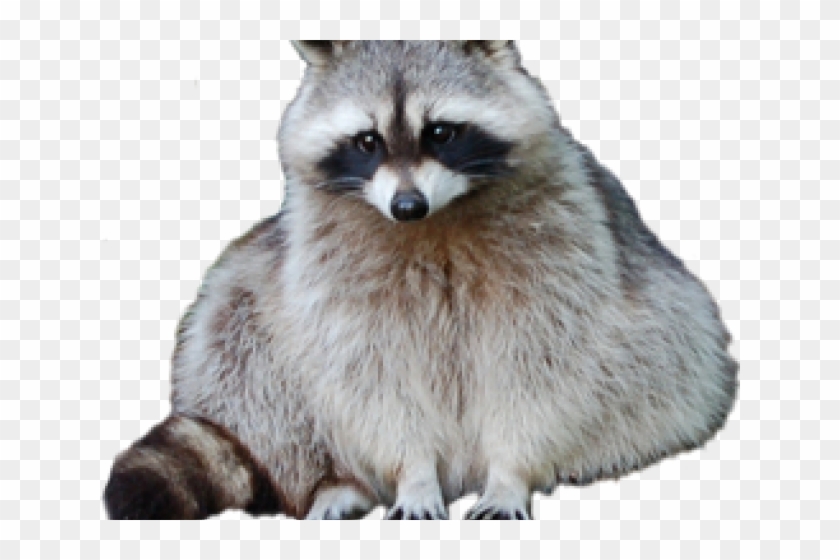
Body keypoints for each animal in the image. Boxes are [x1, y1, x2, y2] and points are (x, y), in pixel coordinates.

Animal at [103, 40, 738, 520]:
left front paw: (511, 471)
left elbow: (541, 364)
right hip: (252, 302)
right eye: (367, 141)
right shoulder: (329, 262)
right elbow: (370, 368)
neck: (434, 220)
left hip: (667, 345)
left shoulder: (560, 241)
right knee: (241, 343)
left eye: (441, 133)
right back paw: (335, 481)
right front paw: (411, 474)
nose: (407, 206)